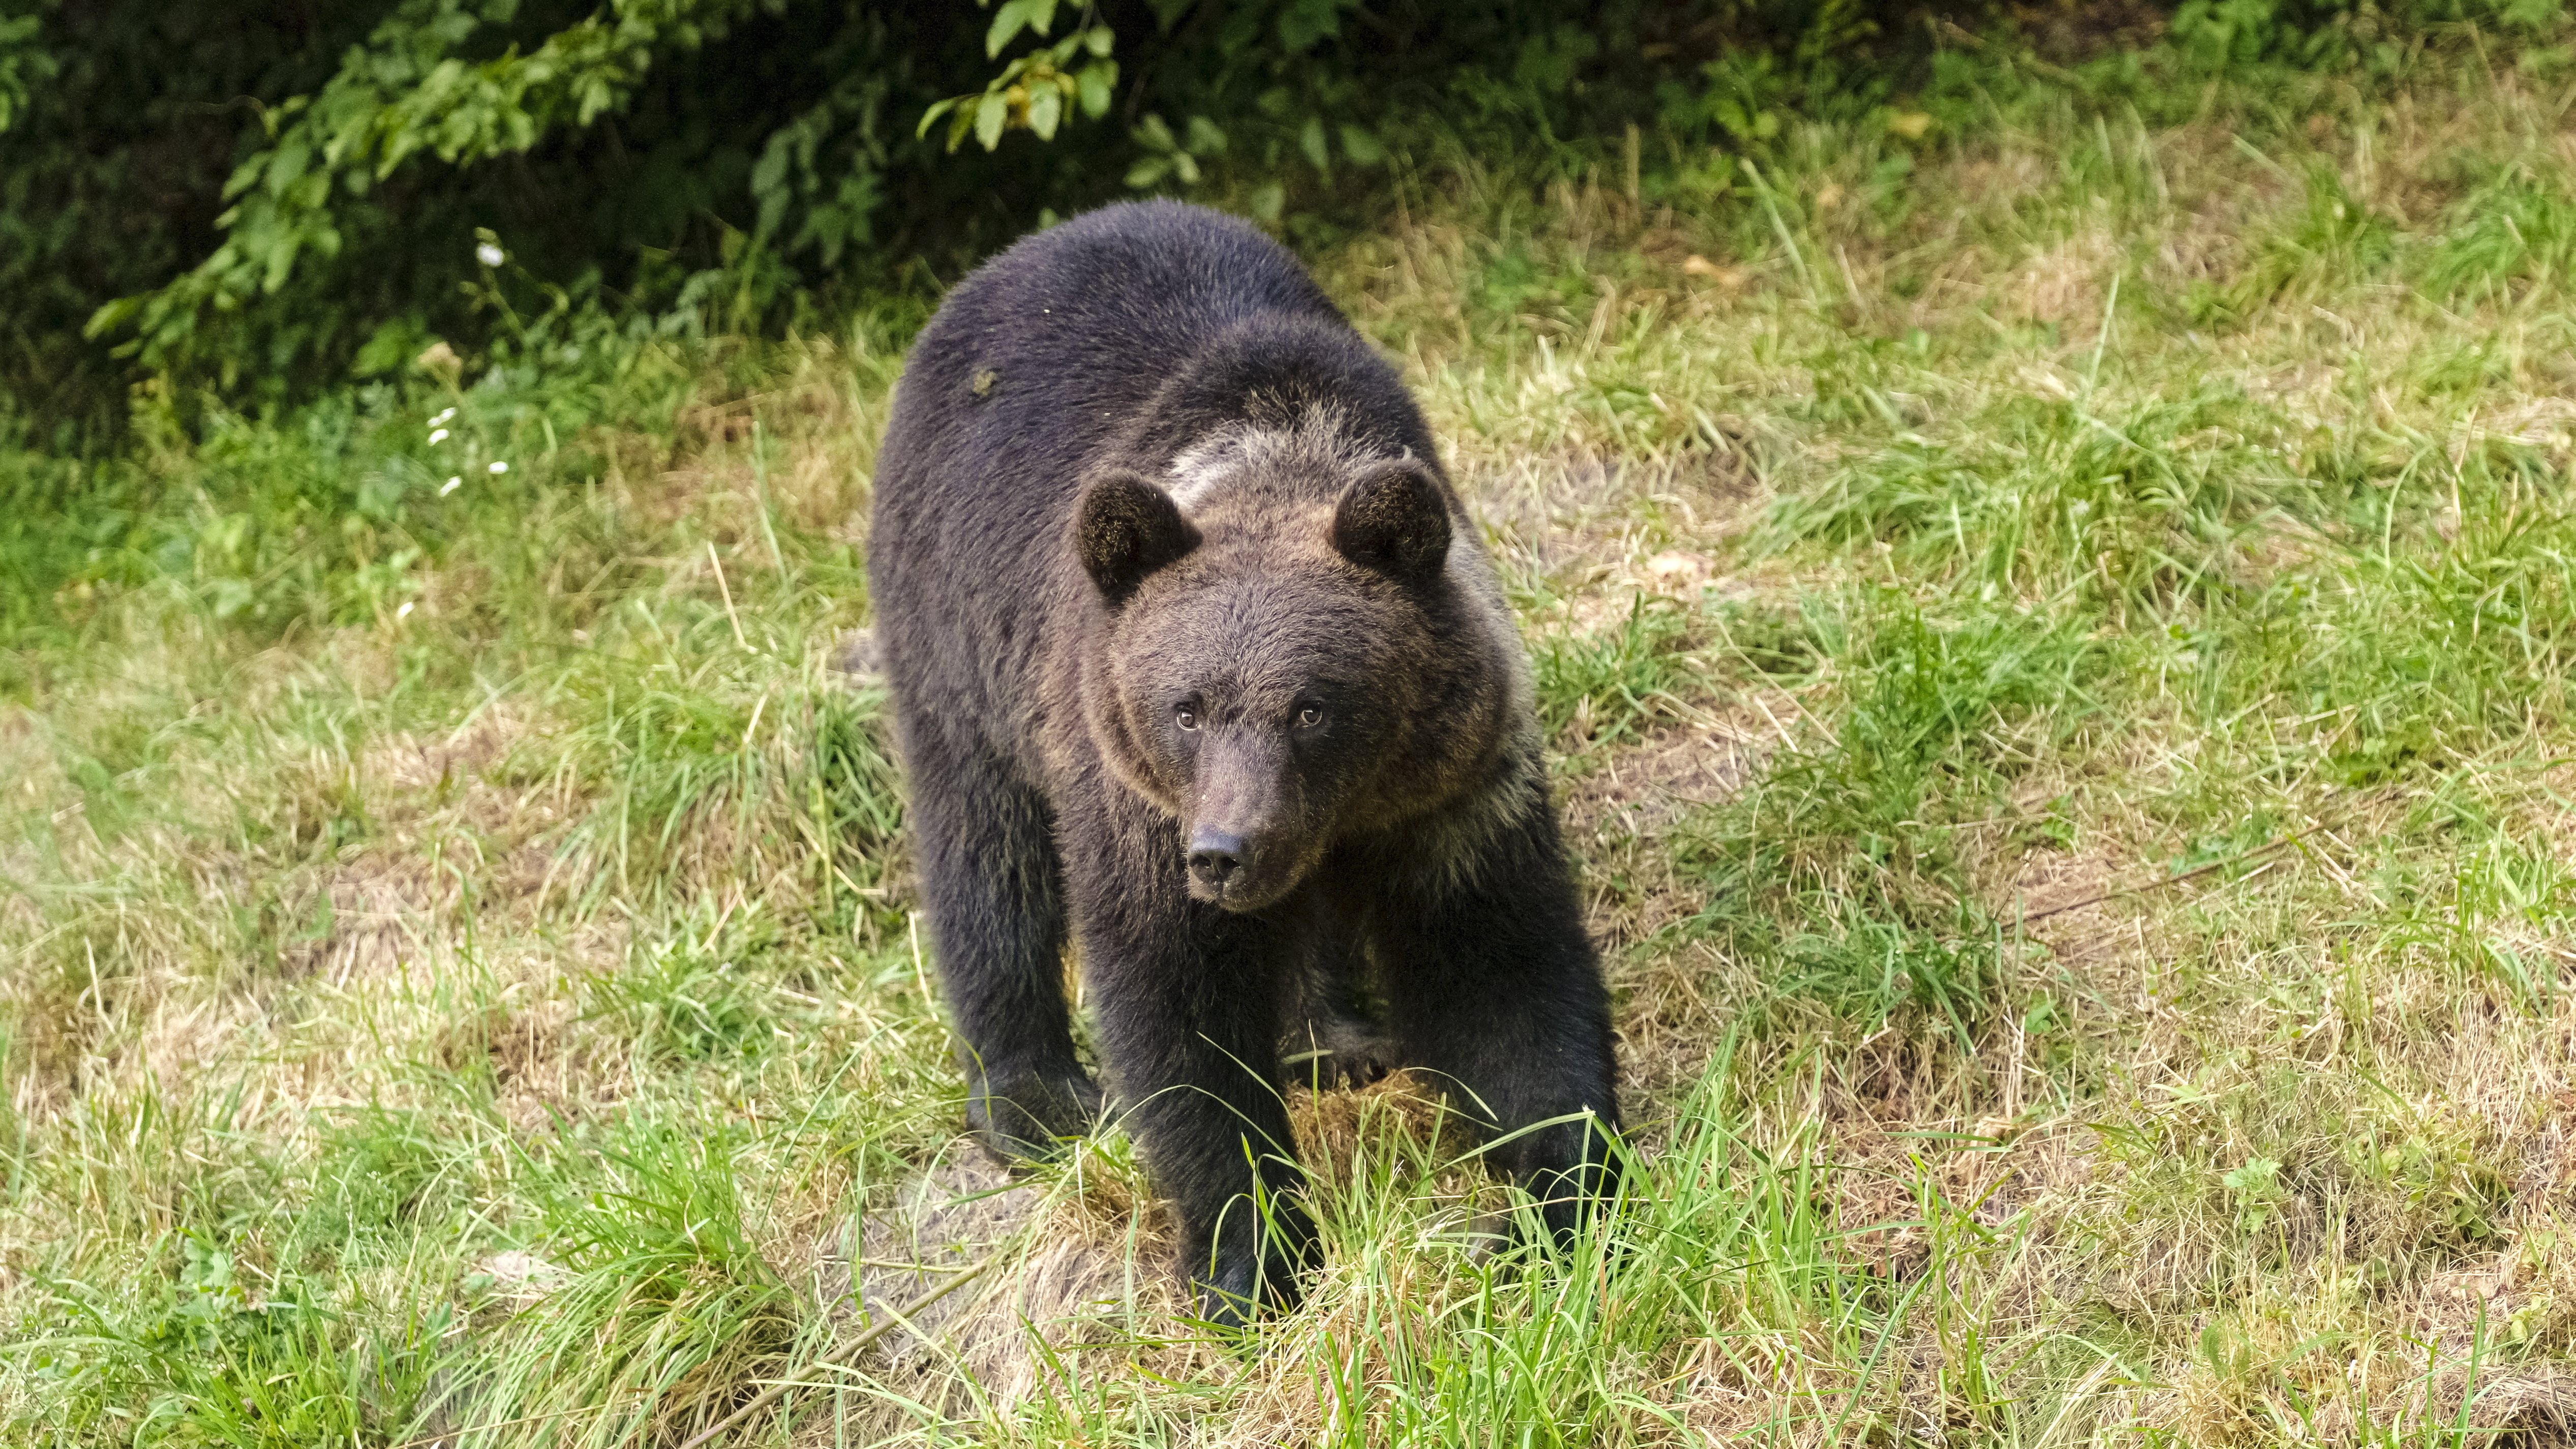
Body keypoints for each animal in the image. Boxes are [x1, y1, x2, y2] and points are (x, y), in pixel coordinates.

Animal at [875, 197, 1618, 1330]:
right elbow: (1177, 1012)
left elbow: (1500, 973)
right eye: (1185, 708)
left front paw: (1553, 1206)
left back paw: (1330, 1037)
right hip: (955, 641)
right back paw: (1033, 1101)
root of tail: (1027, 246)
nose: (1226, 850)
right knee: (984, 853)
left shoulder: (1450, 794)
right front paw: (1251, 1262)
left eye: (1312, 706)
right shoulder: (1133, 794)